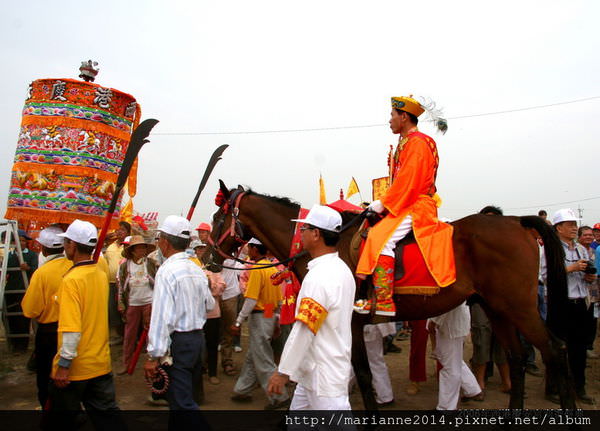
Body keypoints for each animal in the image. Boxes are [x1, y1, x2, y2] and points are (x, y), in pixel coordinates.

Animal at [209, 181, 576, 410]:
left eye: (217, 217)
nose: (211, 257)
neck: (326, 242)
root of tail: (516, 222)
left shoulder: (350, 323)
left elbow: (363, 373)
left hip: (520, 307)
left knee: (556, 349)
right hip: (497, 308)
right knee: (517, 357)